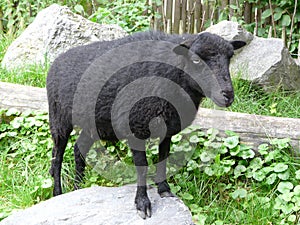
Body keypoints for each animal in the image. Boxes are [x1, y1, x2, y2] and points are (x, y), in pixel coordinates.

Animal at [45, 30, 245, 219]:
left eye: (230, 58)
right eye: (196, 59)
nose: (227, 95)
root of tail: (57, 60)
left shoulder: (168, 128)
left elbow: (163, 160)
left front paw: (164, 190)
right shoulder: (135, 128)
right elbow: (142, 167)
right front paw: (142, 203)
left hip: (95, 124)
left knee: (79, 149)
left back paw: (77, 189)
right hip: (58, 117)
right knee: (57, 159)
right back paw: (58, 193)